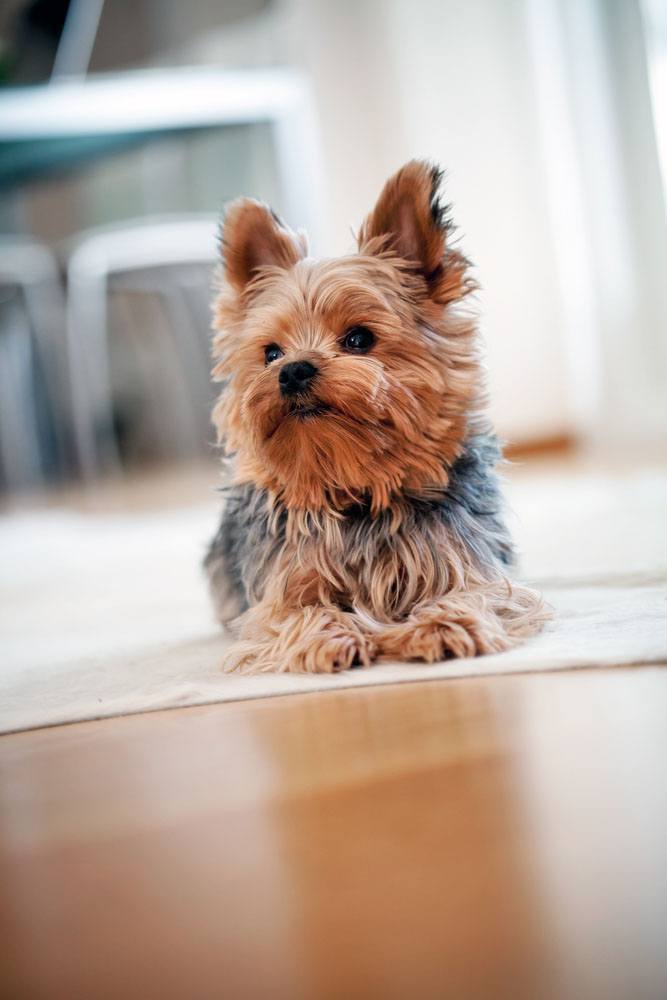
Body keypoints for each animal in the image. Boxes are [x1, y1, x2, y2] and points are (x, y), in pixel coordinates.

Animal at [205, 160, 548, 672]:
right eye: (270, 353)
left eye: (359, 339)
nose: (292, 370)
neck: (358, 490)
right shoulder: (277, 596)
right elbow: (294, 615)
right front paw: (328, 636)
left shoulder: (473, 567)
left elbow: (478, 594)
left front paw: (445, 625)